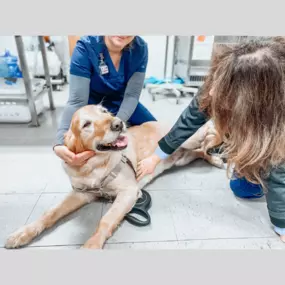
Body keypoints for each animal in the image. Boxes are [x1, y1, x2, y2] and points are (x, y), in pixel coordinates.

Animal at [4, 103, 222, 247]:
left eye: (105, 111)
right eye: (86, 124)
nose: (118, 124)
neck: (96, 166)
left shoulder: (129, 192)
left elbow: (106, 220)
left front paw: (91, 246)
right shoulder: (81, 193)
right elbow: (50, 213)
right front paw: (24, 232)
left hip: (188, 139)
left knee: (207, 138)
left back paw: (217, 152)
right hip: (183, 157)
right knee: (199, 152)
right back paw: (214, 157)